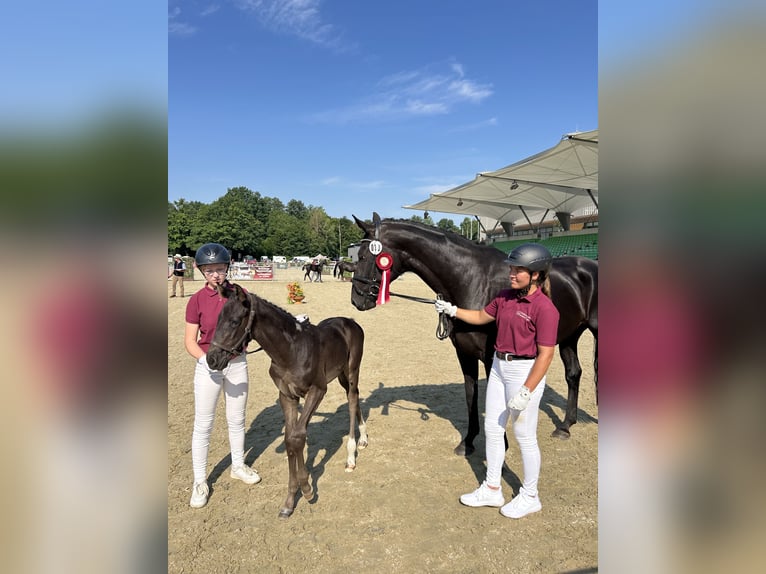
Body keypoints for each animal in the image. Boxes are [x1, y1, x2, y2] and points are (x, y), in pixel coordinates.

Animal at [206, 283, 368, 518]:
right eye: (218, 319)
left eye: (234, 321)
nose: (212, 359)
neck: (290, 351)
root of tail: (350, 321)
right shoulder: (287, 396)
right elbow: (290, 438)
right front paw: (290, 500)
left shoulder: (318, 390)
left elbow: (297, 436)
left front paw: (307, 489)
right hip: (340, 375)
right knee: (353, 396)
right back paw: (363, 438)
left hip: (352, 369)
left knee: (353, 398)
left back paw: (351, 457)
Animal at [350, 213, 597, 456]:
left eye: (363, 256)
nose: (357, 299)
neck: (473, 280)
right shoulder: (465, 353)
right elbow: (471, 395)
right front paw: (468, 441)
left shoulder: (491, 357)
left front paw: (500, 447)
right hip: (568, 336)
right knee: (573, 373)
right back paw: (565, 426)